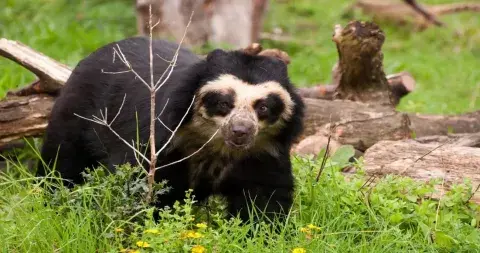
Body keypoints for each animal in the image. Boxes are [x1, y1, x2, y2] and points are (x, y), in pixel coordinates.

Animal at [39, 37, 306, 223]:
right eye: (223, 103)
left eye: (263, 106)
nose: (240, 131)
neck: (214, 142)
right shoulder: (163, 138)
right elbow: (140, 180)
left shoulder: (264, 149)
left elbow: (265, 195)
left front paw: (258, 231)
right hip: (78, 110)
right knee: (63, 158)